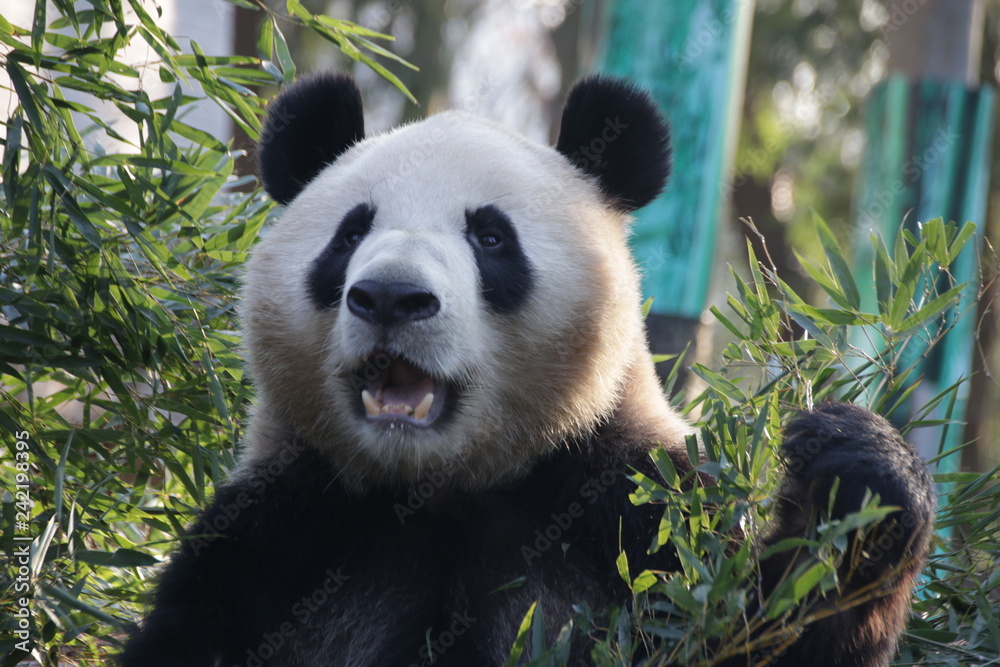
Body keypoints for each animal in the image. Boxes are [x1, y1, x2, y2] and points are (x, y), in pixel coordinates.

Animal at [120, 72, 935, 667]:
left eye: (489, 237)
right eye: (350, 233)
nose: (390, 296)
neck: (439, 487)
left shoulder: (636, 516)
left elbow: (769, 626)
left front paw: (855, 473)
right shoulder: (282, 537)